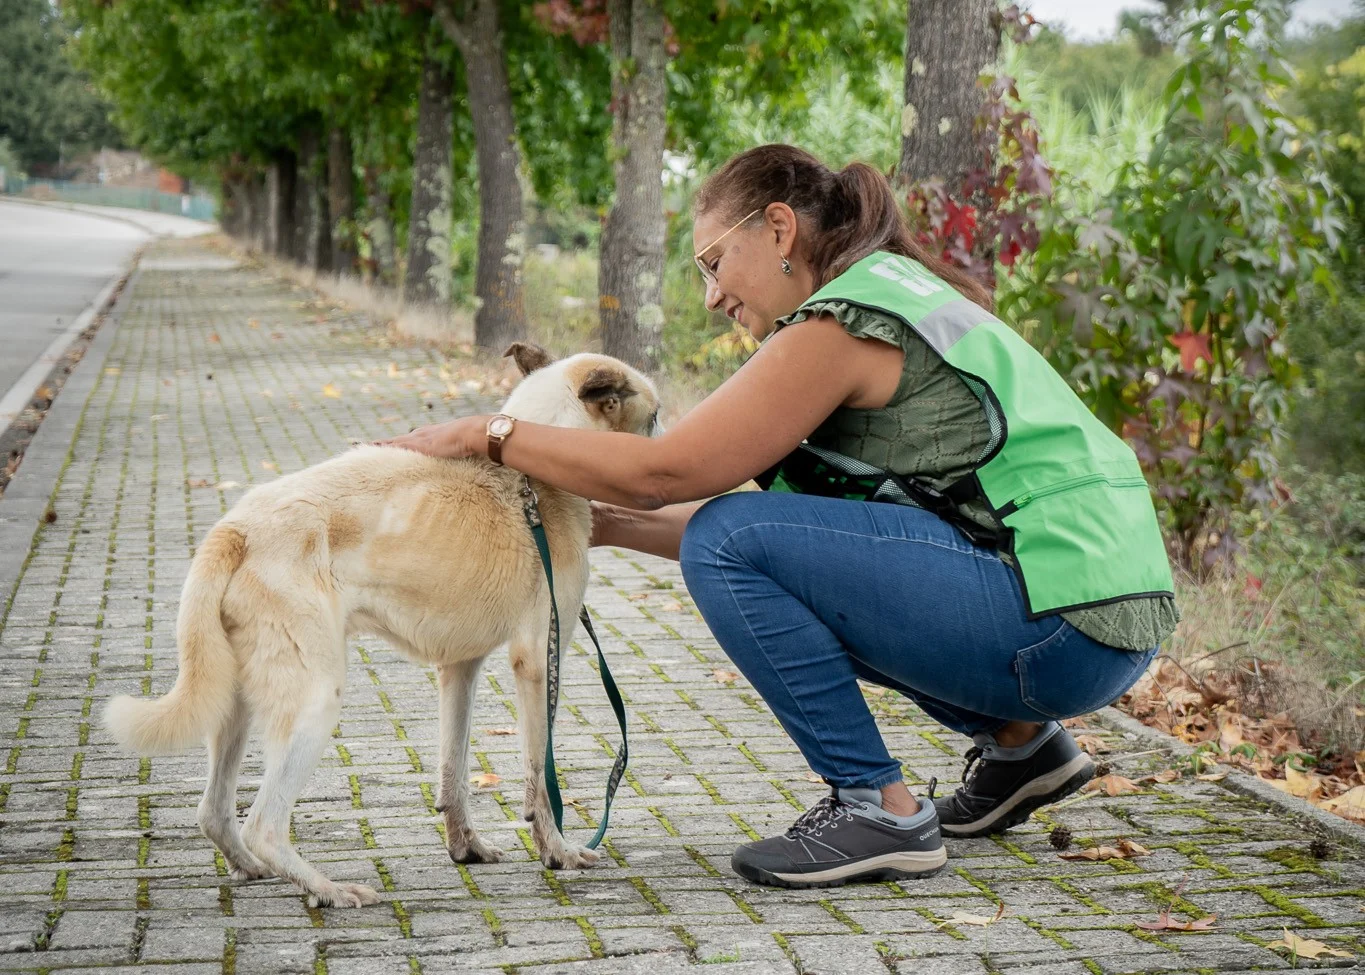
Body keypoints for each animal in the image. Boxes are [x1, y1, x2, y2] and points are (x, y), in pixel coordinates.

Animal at [103, 341, 657, 901]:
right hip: (315, 699)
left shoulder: (459, 669)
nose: (664, 437)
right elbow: (539, 779)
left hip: (235, 699)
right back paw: (327, 889)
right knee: (262, 824)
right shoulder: (539, 660)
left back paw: (254, 868)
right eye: (653, 418)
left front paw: (466, 846)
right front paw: (557, 851)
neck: (531, 480)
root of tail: (237, 525)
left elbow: (454, 770)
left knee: (214, 812)